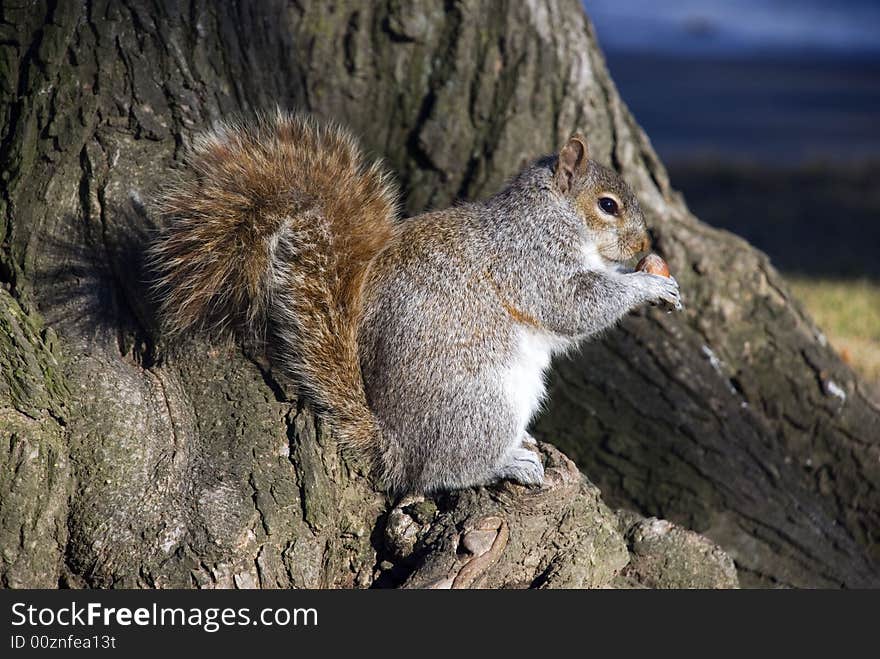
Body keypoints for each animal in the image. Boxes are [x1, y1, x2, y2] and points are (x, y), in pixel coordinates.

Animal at [150, 112, 680, 496]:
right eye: (608, 205)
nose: (642, 244)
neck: (550, 214)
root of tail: (397, 448)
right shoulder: (532, 262)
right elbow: (574, 306)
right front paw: (646, 286)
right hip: (483, 406)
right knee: (440, 475)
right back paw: (507, 463)